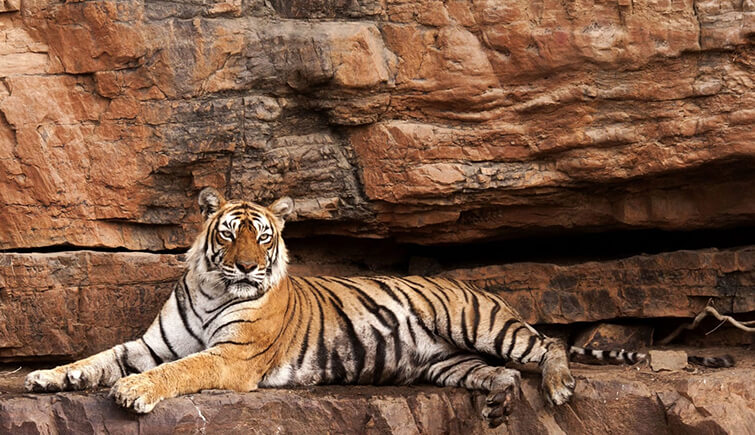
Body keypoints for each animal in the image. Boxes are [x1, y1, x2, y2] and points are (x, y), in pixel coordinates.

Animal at [23, 186, 732, 426]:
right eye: (228, 233)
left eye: (264, 235)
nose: (249, 267)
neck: (211, 286)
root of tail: (470, 284)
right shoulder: (150, 342)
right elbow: (99, 357)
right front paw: (46, 376)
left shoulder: (229, 358)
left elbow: (177, 371)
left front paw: (133, 394)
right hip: (445, 364)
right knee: (497, 374)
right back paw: (498, 405)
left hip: (482, 324)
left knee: (547, 345)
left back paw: (556, 387)